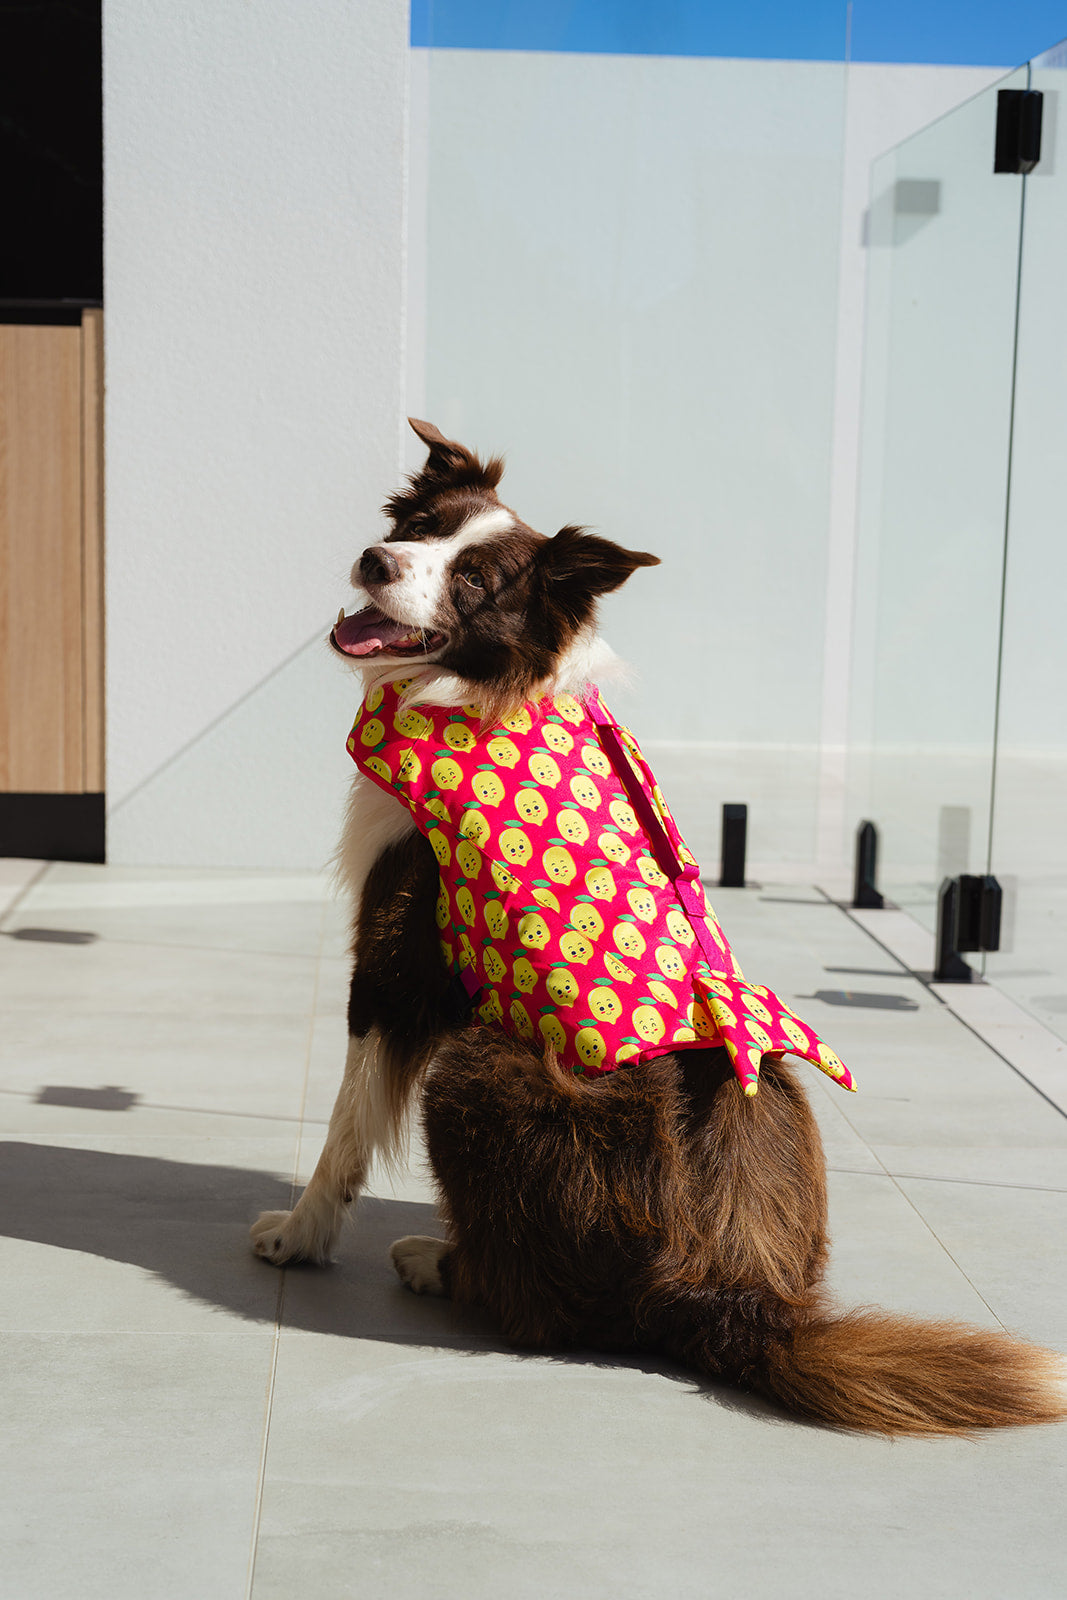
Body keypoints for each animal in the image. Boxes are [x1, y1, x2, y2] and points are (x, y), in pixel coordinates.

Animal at [252, 416, 1067, 1440]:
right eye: (417, 528)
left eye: (473, 581)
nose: (373, 559)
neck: (480, 689)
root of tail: (726, 1297)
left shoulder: (396, 953)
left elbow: (345, 1124)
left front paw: (299, 1235)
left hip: (481, 1064)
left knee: (546, 1315)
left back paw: (441, 1263)